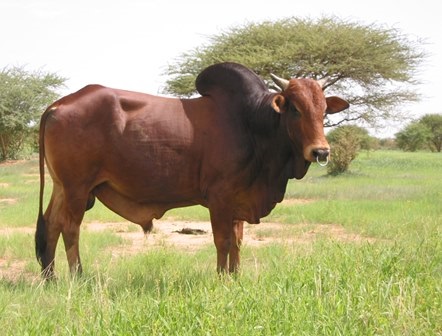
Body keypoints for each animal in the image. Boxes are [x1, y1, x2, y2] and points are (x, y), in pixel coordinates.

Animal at [35, 61, 348, 276]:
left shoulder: (239, 199)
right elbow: (223, 241)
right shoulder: (220, 198)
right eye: (295, 108)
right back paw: (78, 277)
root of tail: (58, 104)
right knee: (70, 228)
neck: (252, 123)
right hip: (77, 188)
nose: (320, 151)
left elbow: (238, 241)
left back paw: (50, 278)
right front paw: (222, 279)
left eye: (323, 110)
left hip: (62, 187)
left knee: (51, 224)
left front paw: (236, 277)